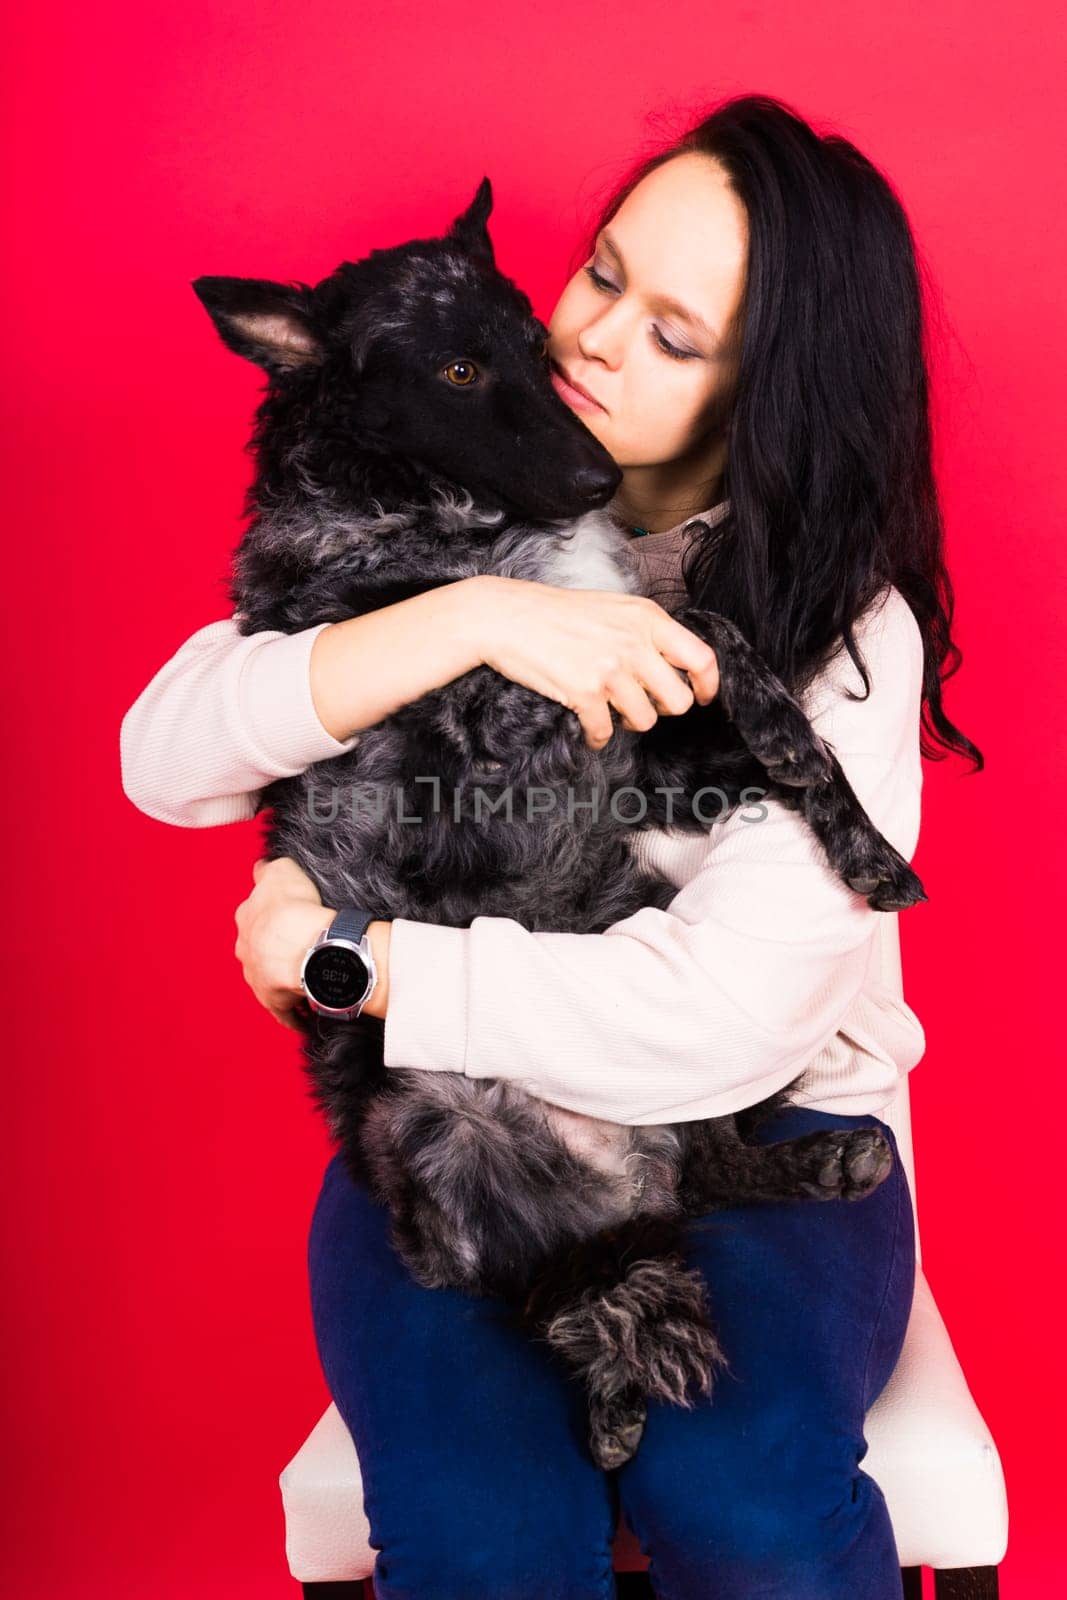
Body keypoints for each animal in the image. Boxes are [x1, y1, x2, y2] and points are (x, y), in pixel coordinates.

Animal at [191, 181, 927, 1465]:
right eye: (455, 368)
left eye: (538, 347)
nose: (595, 478)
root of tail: (609, 1173)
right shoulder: (513, 703)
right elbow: (668, 623)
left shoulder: (651, 749)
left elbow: (732, 659)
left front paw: (858, 835)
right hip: (431, 1136)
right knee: (550, 1286)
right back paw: (613, 1389)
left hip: (663, 990)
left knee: (702, 1171)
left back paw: (824, 1160)